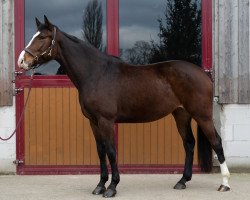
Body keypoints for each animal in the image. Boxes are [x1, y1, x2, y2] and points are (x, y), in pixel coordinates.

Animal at [18, 16, 230, 198]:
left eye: (42, 37)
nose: (22, 61)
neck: (95, 73)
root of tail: (202, 73)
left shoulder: (106, 121)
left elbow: (111, 151)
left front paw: (112, 187)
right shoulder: (93, 122)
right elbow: (101, 151)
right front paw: (100, 185)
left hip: (202, 115)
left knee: (216, 142)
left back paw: (225, 184)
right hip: (181, 114)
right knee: (189, 143)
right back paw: (182, 181)